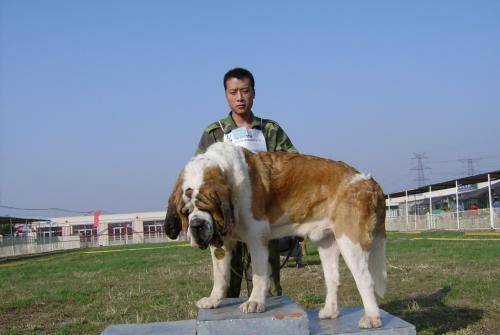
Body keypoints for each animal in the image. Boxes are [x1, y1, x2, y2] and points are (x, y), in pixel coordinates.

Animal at [164, 143, 386, 330]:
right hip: (327, 243)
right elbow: (220, 275)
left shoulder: (256, 235)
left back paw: (372, 318)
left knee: (365, 279)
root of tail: (368, 180)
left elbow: (258, 275)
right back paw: (330, 312)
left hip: (350, 240)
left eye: (208, 208)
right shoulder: (222, 242)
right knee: (333, 279)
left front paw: (254, 302)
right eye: (185, 212)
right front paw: (213, 300)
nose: (197, 225)